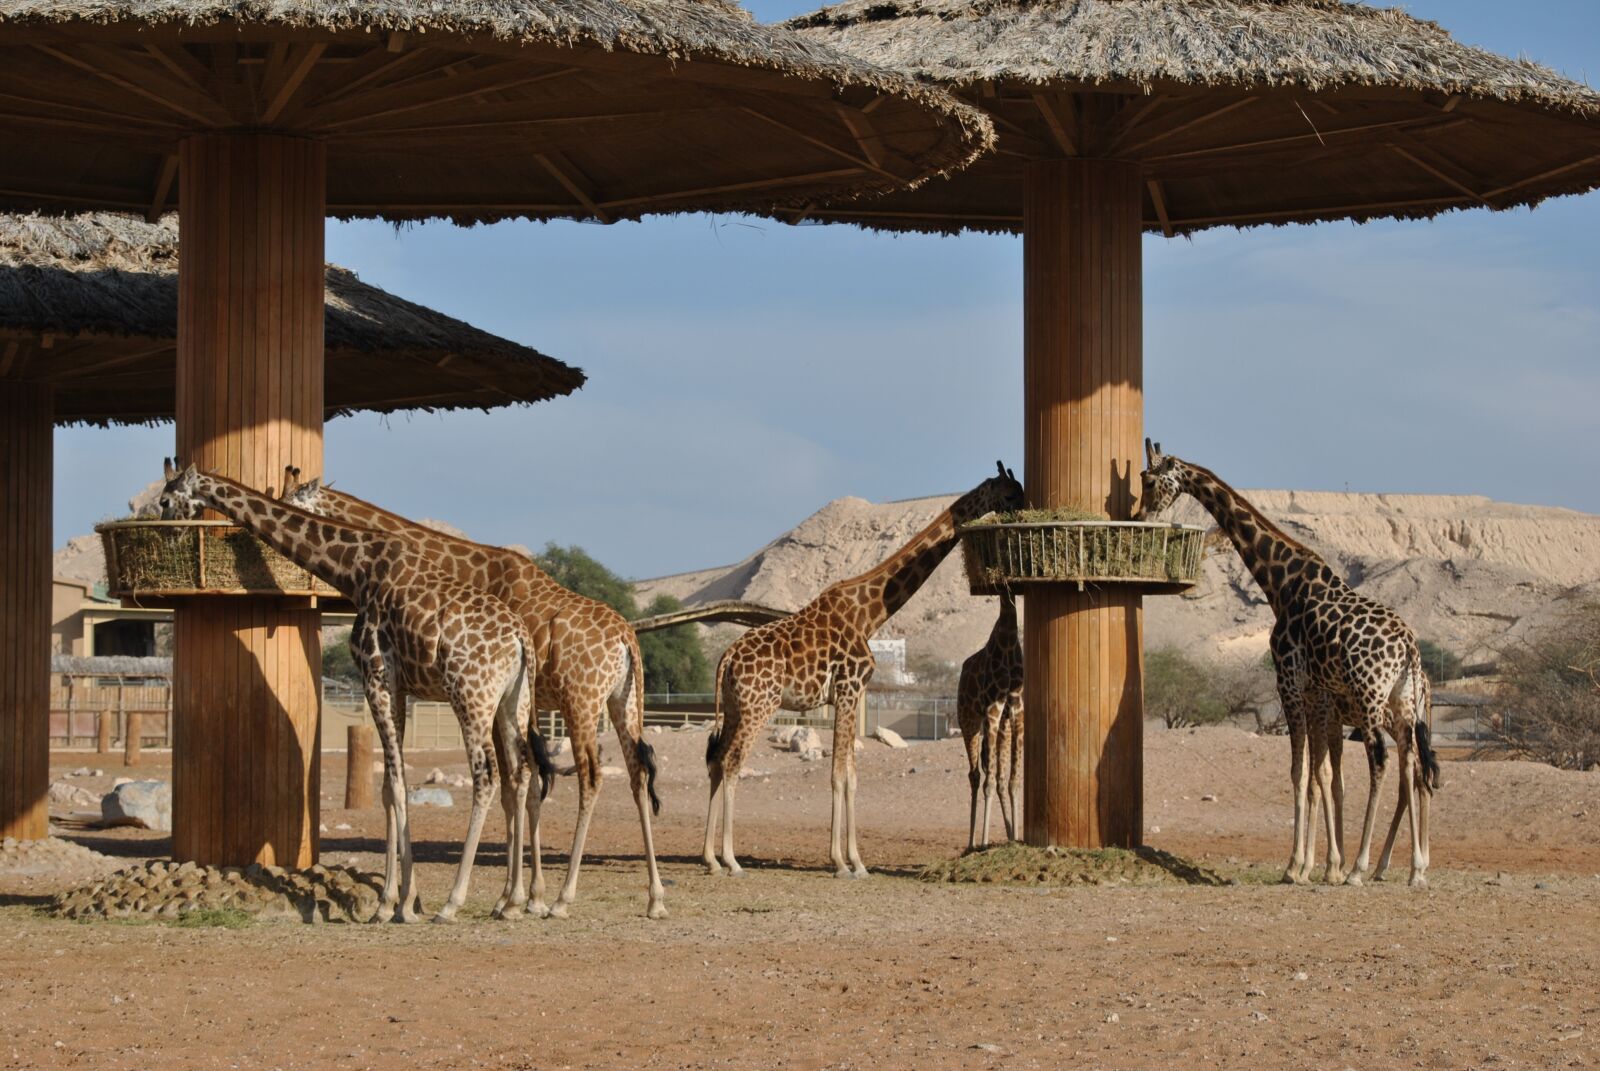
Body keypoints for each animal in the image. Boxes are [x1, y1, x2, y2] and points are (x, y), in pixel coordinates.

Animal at [157, 461, 549, 922]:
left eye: (164, 500)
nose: (167, 537)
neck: (356, 570)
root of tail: (521, 641)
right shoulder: (399, 687)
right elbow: (389, 787)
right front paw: (400, 900)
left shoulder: (374, 675)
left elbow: (395, 782)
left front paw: (394, 904)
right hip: (512, 703)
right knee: (522, 773)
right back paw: (516, 900)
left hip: (470, 695)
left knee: (486, 775)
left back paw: (455, 902)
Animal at [278, 467, 666, 920]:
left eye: (290, 502)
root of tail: (627, 641)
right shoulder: (518, 708)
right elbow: (526, 789)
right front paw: (519, 896)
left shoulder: (502, 703)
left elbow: (517, 788)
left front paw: (522, 898)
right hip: (626, 701)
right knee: (638, 772)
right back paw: (655, 898)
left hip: (581, 702)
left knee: (591, 776)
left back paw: (563, 899)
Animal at [957, 590, 1024, 850]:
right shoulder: (992, 711)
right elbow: (989, 782)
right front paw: (985, 841)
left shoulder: (1014, 710)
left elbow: (1011, 779)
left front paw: (1015, 836)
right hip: (968, 720)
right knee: (975, 775)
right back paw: (972, 843)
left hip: (997, 725)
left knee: (997, 776)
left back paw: (1009, 834)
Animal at [1137, 441, 1440, 887]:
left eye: (1149, 480)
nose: (1141, 515)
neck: (1281, 583)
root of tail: (1411, 650)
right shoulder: (1318, 694)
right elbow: (1323, 775)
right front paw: (1320, 864)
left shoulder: (1290, 684)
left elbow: (1301, 773)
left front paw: (1298, 866)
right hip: (1402, 704)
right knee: (1412, 768)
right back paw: (1414, 870)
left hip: (1370, 698)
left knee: (1383, 763)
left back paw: (1362, 868)